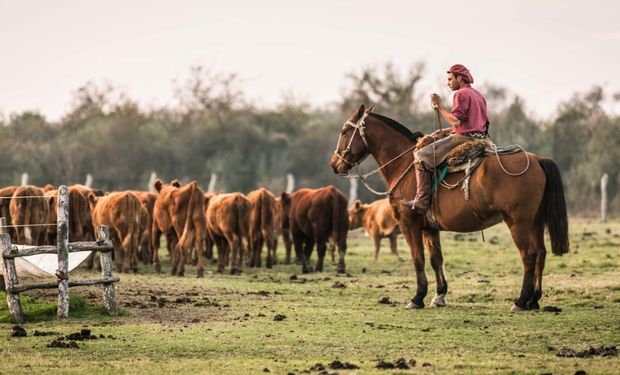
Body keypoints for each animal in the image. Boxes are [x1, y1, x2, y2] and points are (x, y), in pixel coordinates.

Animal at [332, 106, 568, 312]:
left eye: (344, 131)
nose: (334, 164)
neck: (405, 165)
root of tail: (537, 160)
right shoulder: (430, 228)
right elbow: (436, 259)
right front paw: (439, 295)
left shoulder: (409, 224)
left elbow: (418, 259)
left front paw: (417, 297)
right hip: (535, 222)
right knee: (541, 254)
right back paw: (534, 300)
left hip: (518, 222)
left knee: (528, 255)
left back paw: (520, 301)